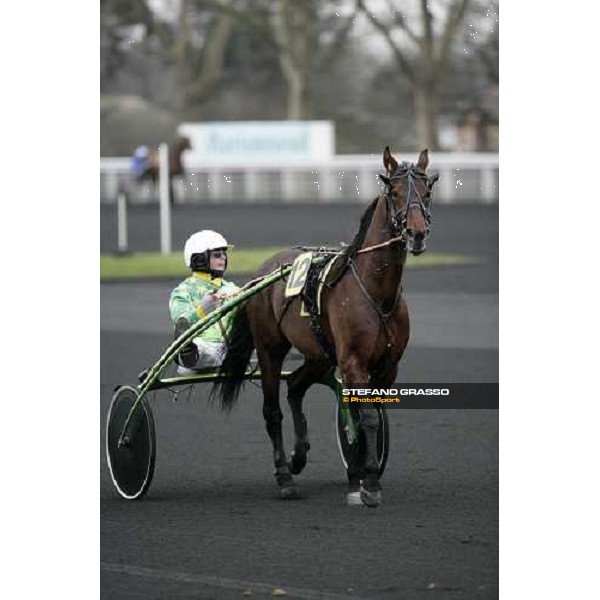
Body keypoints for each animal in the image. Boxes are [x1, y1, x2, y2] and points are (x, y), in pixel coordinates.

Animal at [213, 146, 438, 506]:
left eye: (427, 191)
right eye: (395, 192)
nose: (416, 233)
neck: (375, 291)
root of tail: (263, 271)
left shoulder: (386, 367)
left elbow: (366, 416)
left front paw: (358, 473)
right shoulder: (354, 362)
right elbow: (367, 418)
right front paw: (369, 483)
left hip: (319, 354)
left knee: (295, 387)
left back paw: (298, 456)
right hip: (270, 350)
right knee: (272, 410)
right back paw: (284, 476)